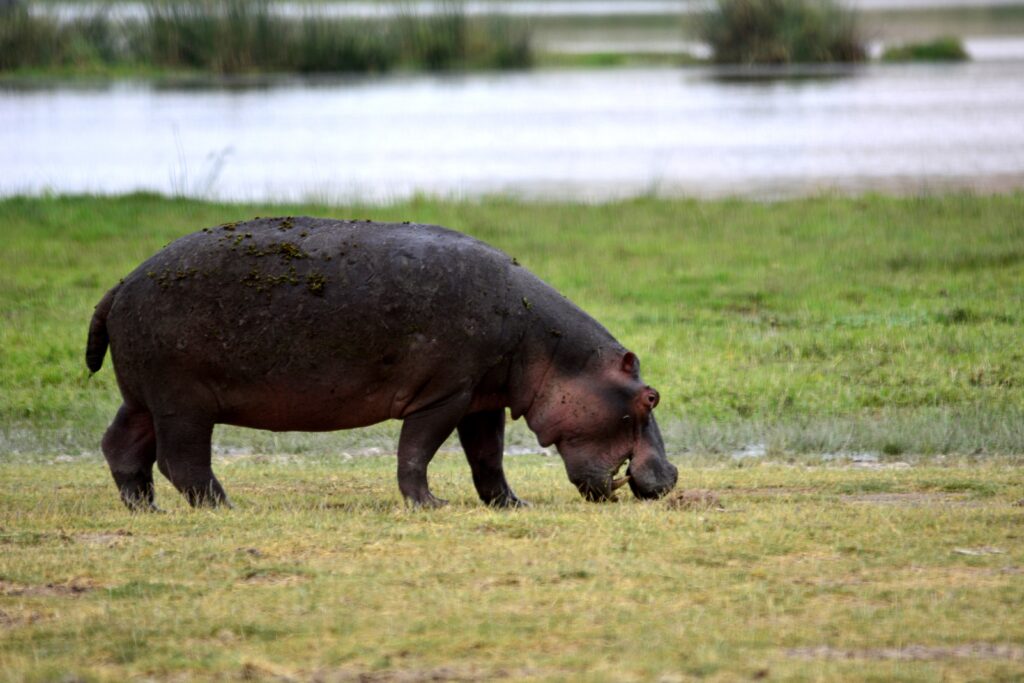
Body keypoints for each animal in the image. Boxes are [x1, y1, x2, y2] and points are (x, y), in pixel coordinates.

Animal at [86, 217, 678, 510]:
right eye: (650, 398)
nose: (671, 478)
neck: (550, 348)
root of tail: (121, 283)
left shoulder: (482, 398)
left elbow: (488, 459)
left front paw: (514, 505)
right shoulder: (446, 394)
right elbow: (416, 451)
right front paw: (430, 505)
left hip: (142, 397)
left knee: (121, 446)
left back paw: (145, 509)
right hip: (182, 401)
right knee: (182, 461)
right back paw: (224, 507)